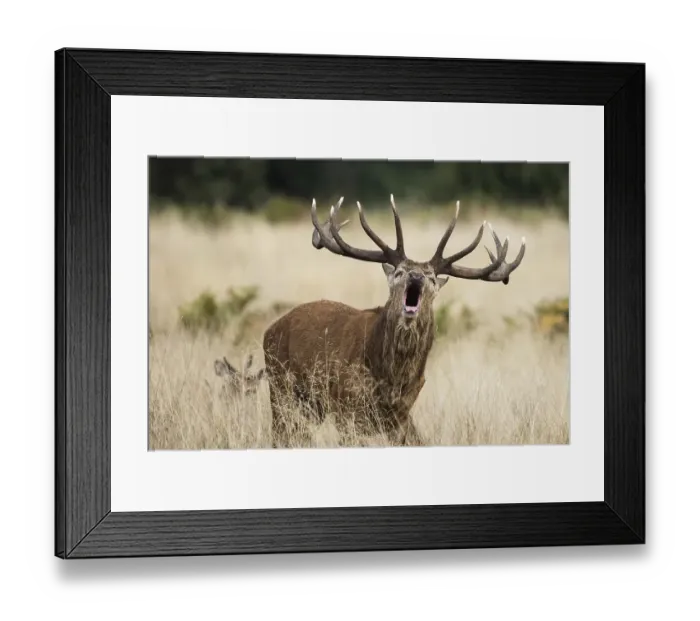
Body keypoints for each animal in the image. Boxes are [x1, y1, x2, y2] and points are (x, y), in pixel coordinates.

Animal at [218, 195, 525, 448]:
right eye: (400, 272)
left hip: (311, 405)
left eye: (431, 277)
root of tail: (271, 328)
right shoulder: (348, 408)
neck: (391, 376)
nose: (416, 276)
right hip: (280, 387)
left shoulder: (402, 414)